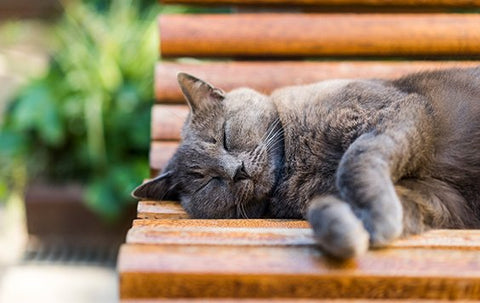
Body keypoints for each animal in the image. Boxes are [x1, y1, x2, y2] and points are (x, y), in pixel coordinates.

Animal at [132, 67, 480, 260]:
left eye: (225, 136)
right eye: (206, 180)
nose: (236, 171)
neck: (295, 165)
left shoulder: (398, 111)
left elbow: (355, 160)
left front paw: (377, 219)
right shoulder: (438, 199)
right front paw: (350, 230)